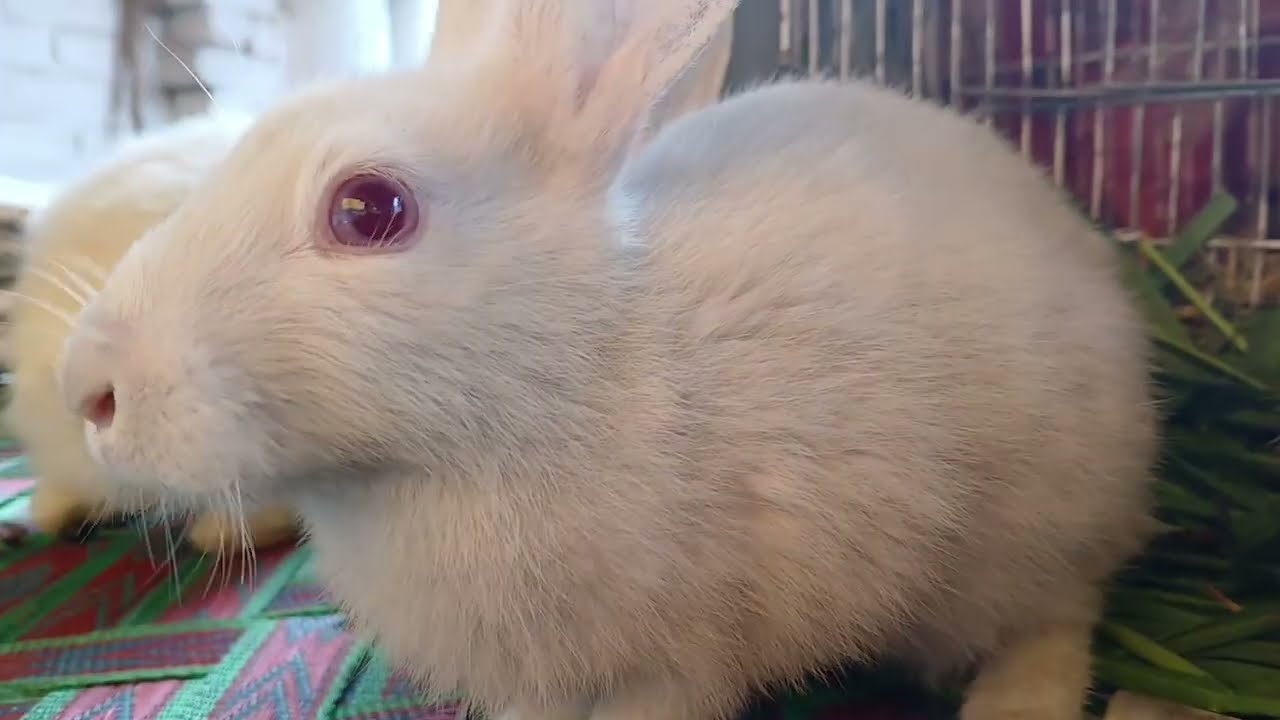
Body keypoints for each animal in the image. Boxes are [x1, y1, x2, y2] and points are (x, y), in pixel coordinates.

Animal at [53, 0, 1159, 718]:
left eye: (368, 210)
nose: (88, 390)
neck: (565, 366)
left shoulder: (675, 660)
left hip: (1029, 527)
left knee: (1056, 619)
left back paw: (1016, 702)